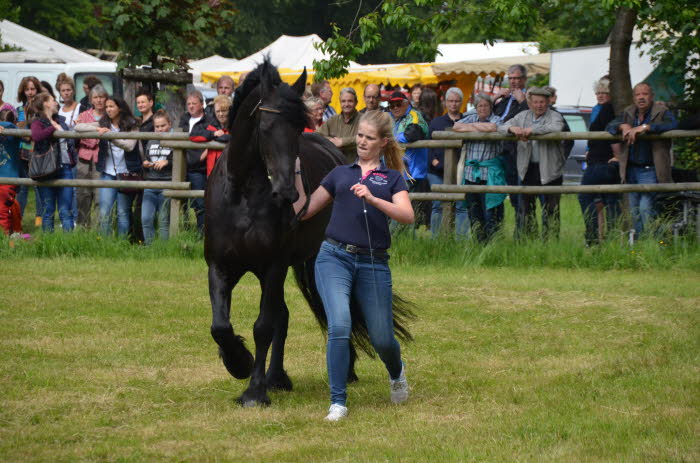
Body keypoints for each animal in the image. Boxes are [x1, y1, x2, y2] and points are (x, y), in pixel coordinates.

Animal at [204, 59, 410, 408]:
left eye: (299, 128)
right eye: (265, 127)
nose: (288, 192)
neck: (243, 196)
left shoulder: (273, 265)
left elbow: (263, 326)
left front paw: (254, 390)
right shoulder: (220, 265)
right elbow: (220, 326)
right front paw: (238, 362)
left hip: (310, 262)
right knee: (284, 316)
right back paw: (277, 377)